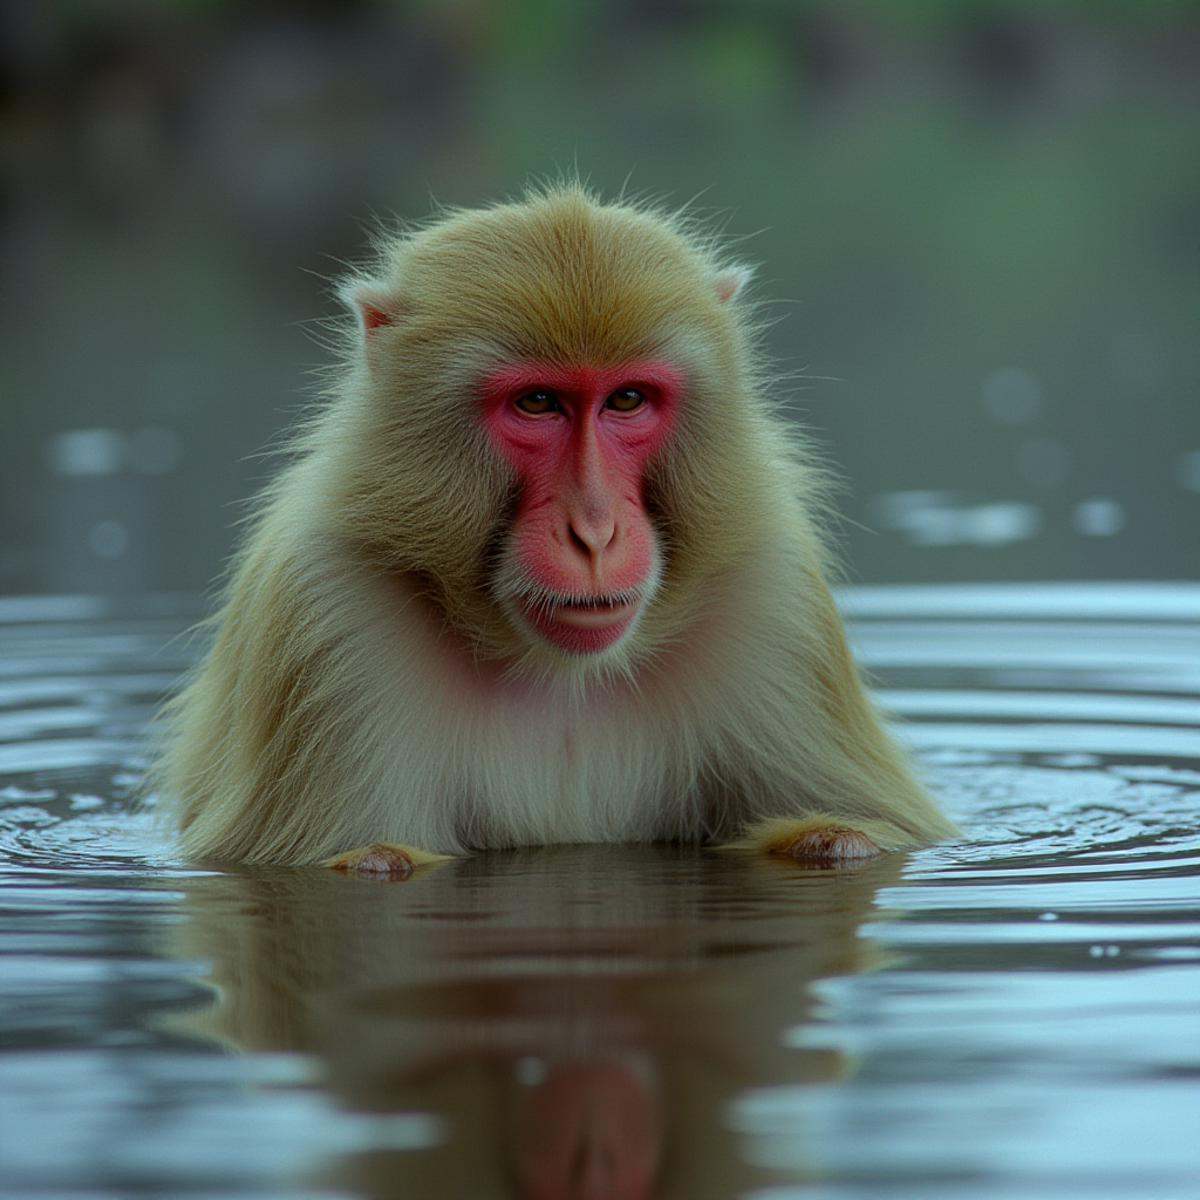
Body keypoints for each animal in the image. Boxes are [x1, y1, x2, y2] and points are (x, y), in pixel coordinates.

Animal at [151, 180, 958, 876]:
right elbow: (372, 859)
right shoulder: (322, 615)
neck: (560, 677)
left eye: (627, 399)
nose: (594, 533)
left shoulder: (778, 601)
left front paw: (835, 840)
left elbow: (855, 835)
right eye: (538, 403)